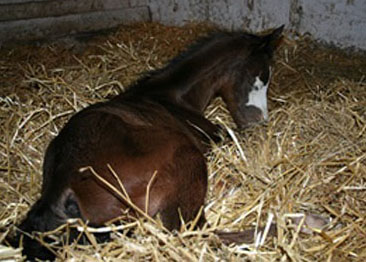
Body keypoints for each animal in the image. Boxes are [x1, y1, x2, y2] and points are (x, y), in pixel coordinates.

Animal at [13, 25, 284, 260]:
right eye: (260, 78)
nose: (260, 123)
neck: (172, 97)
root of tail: (61, 188)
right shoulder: (212, 137)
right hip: (187, 156)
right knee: (197, 232)